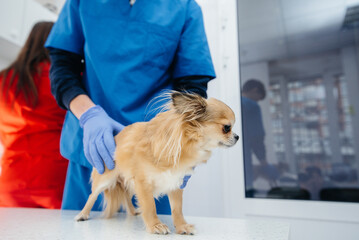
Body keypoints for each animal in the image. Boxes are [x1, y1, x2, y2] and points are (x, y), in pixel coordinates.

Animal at [75, 91, 240, 234]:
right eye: (227, 128)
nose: (238, 137)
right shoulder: (143, 183)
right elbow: (150, 207)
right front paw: (155, 225)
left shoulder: (176, 183)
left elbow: (177, 209)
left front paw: (182, 226)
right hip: (105, 178)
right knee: (92, 195)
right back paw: (83, 214)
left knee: (126, 196)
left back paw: (133, 212)